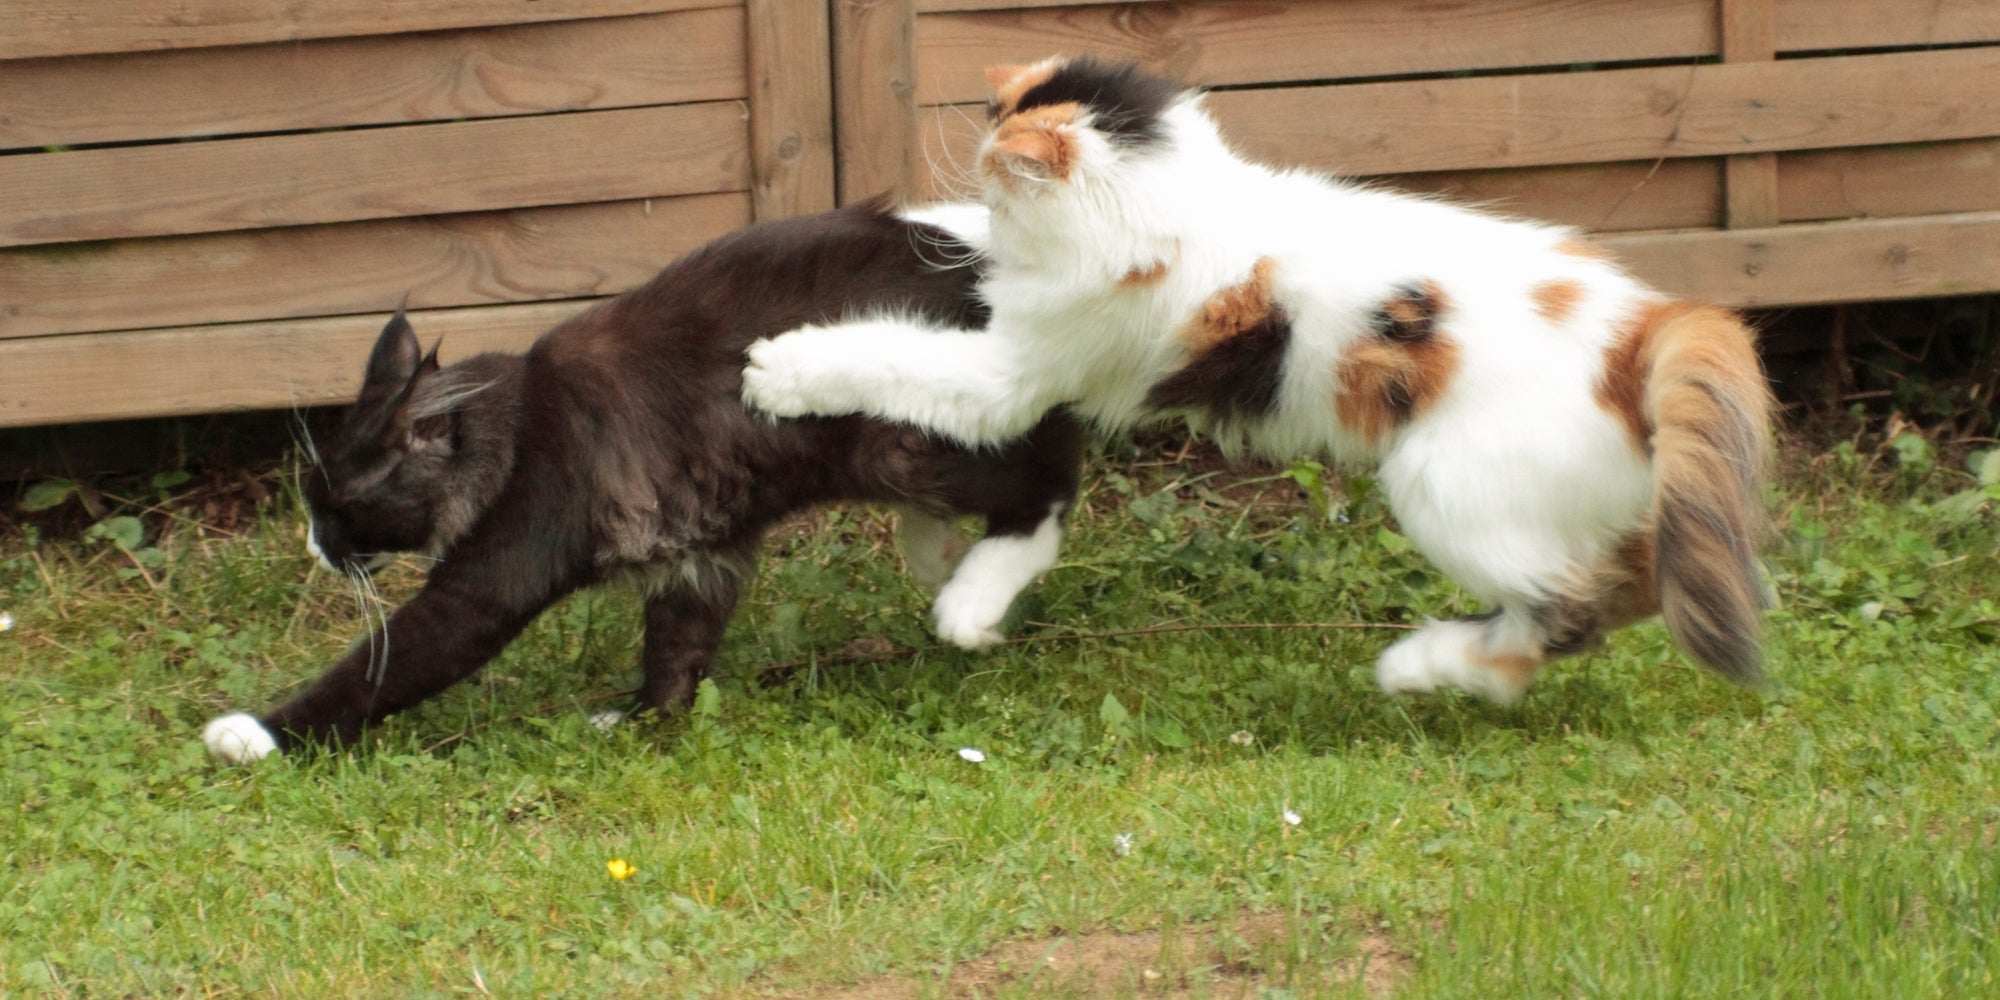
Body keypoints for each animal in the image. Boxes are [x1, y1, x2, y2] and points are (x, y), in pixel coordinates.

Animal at [201, 199, 1080, 760]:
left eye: (335, 504)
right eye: (310, 501)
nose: (313, 546)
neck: (517, 430)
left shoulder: (484, 588)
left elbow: (376, 670)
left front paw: (256, 735)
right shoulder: (698, 555)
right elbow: (676, 658)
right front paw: (642, 724)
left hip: (905, 442)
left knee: (1048, 484)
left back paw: (971, 602)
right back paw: (939, 557)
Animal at [744, 58, 1776, 708]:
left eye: (1004, 168)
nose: (981, 162)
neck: (1174, 209)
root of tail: (1645, 325)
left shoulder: (1010, 373)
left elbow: (887, 354)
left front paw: (779, 367)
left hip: (1444, 488)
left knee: (1567, 612)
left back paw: (1418, 668)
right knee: (1632, 585)